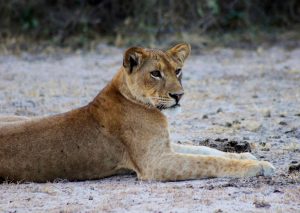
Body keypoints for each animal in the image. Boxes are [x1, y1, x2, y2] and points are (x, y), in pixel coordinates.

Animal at [0, 42, 274, 181]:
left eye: (178, 71)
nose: (179, 95)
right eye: (155, 73)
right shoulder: (155, 164)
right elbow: (207, 161)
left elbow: (206, 150)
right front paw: (256, 166)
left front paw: (248, 156)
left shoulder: (164, 147)